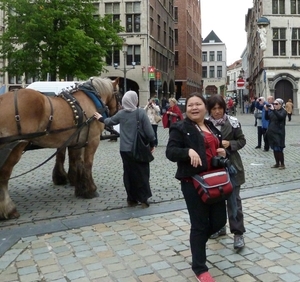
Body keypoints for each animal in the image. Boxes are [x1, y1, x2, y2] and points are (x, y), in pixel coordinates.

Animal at [0, 77, 119, 220]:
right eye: (119, 94)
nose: (118, 111)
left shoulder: (77, 140)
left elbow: (77, 162)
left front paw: (80, 188)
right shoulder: (92, 140)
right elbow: (87, 164)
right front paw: (90, 189)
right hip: (16, 146)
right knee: (4, 174)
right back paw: (9, 209)